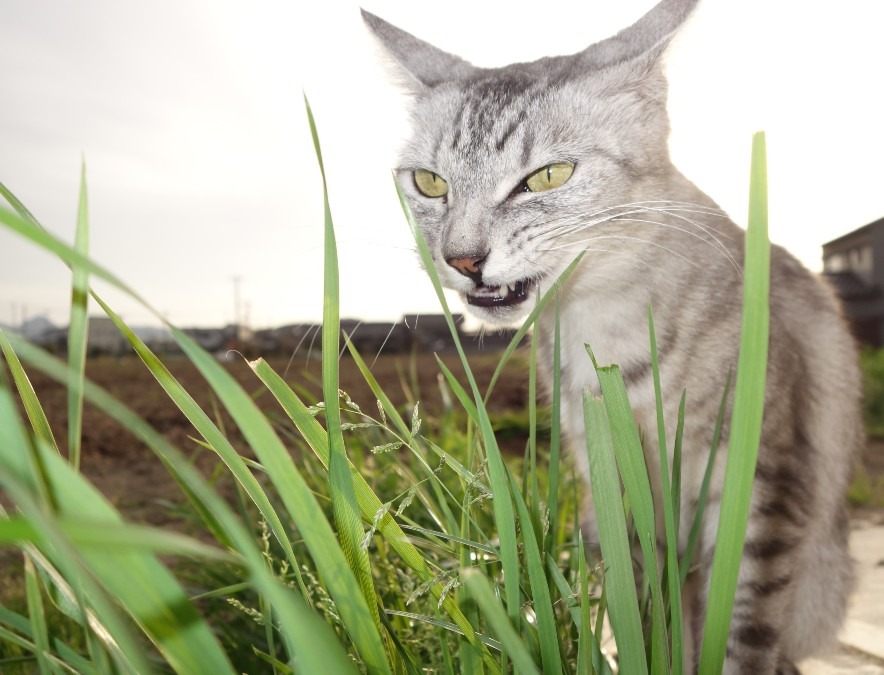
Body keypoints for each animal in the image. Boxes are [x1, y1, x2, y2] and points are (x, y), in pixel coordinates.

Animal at [362, 2, 860, 672]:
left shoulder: (762, 476)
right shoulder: (619, 492)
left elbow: (745, 625)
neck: (604, 329)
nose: (461, 259)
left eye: (548, 176)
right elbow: (648, 619)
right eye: (430, 183)